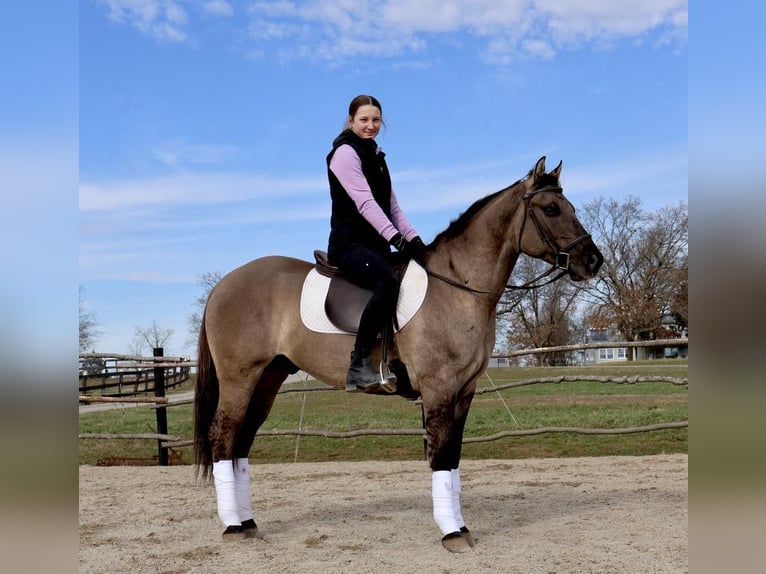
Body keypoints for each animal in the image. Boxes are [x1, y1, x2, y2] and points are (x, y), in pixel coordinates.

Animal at [194, 156, 608, 552]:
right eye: (551, 209)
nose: (592, 260)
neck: (457, 286)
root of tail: (223, 285)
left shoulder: (464, 391)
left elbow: (453, 458)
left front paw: (461, 526)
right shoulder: (440, 388)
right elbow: (441, 457)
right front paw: (452, 533)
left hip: (269, 377)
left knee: (242, 440)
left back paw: (248, 522)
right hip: (240, 378)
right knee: (223, 436)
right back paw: (233, 526)